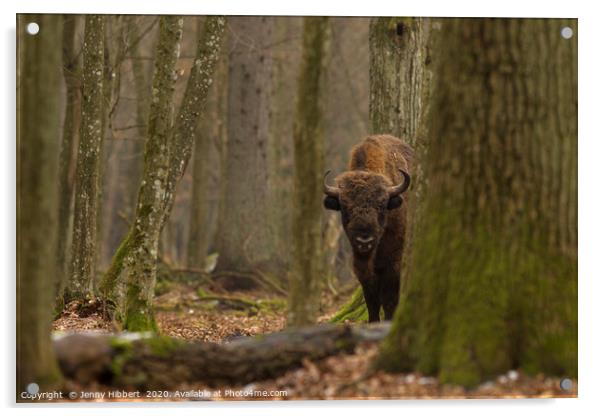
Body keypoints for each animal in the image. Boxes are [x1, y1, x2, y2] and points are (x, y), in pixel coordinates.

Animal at [322, 135, 410, 324]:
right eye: (345, 207)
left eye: (381, 205)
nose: (364, 240)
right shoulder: (363, 268)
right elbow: (372, 299)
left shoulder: (393, 263)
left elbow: (389, 298)